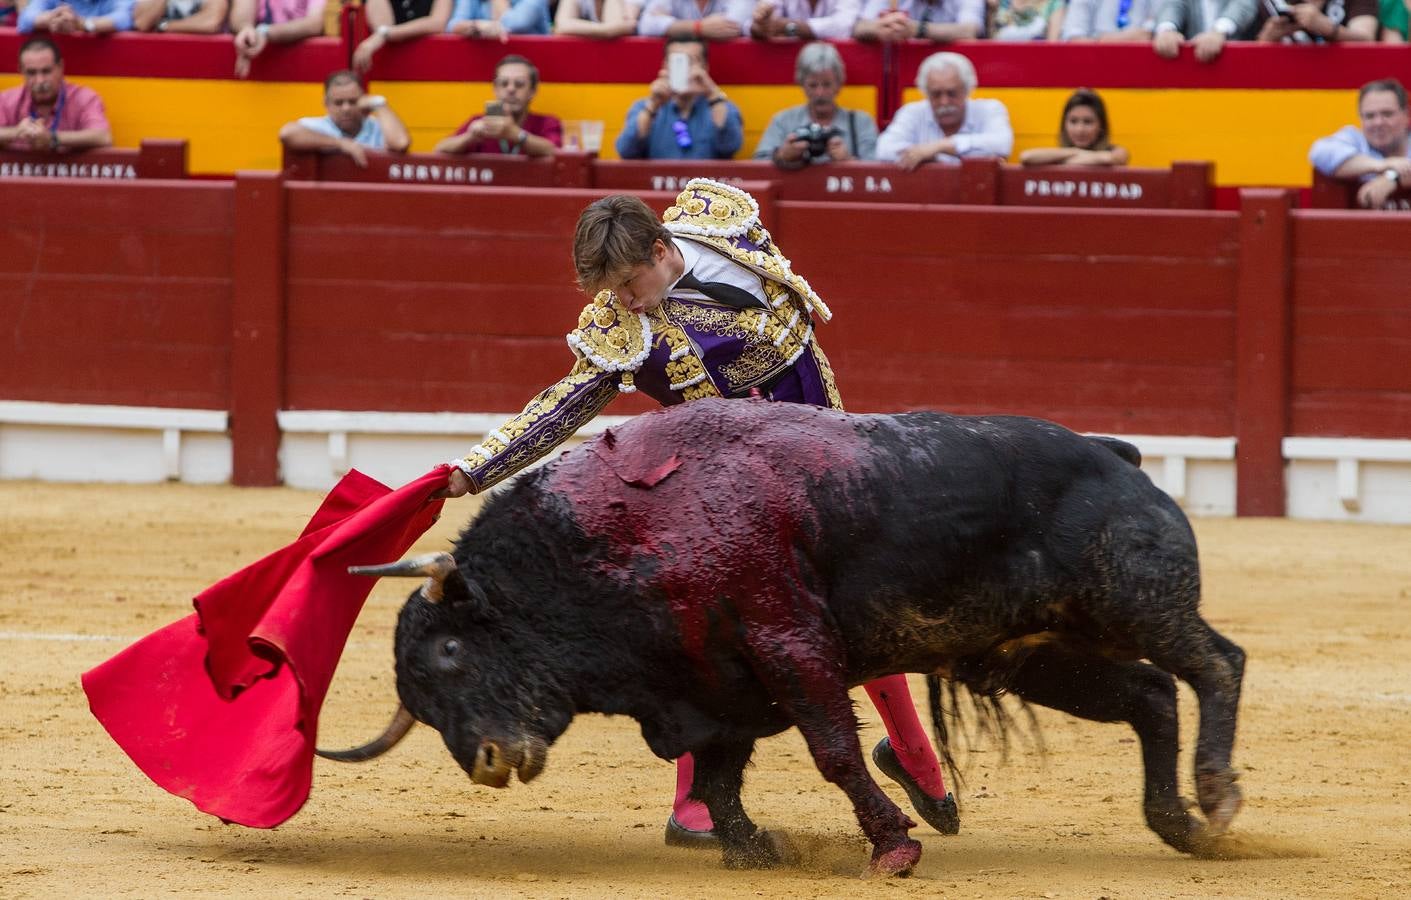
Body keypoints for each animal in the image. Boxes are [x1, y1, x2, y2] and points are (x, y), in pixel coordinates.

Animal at [327, 397, 1247, 880]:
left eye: (449, 653)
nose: (485, 762)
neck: (609, 542)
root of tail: (1113, 454)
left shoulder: (789, 644)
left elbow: (832, 749)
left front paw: (893, 847)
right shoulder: (713, 683)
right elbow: (721, 776)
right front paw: (755, 848)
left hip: (1132, 601)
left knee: (1214, 663)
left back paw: (1214, 794)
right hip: (1034, 653)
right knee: (1149, 694)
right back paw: (1181, 826)